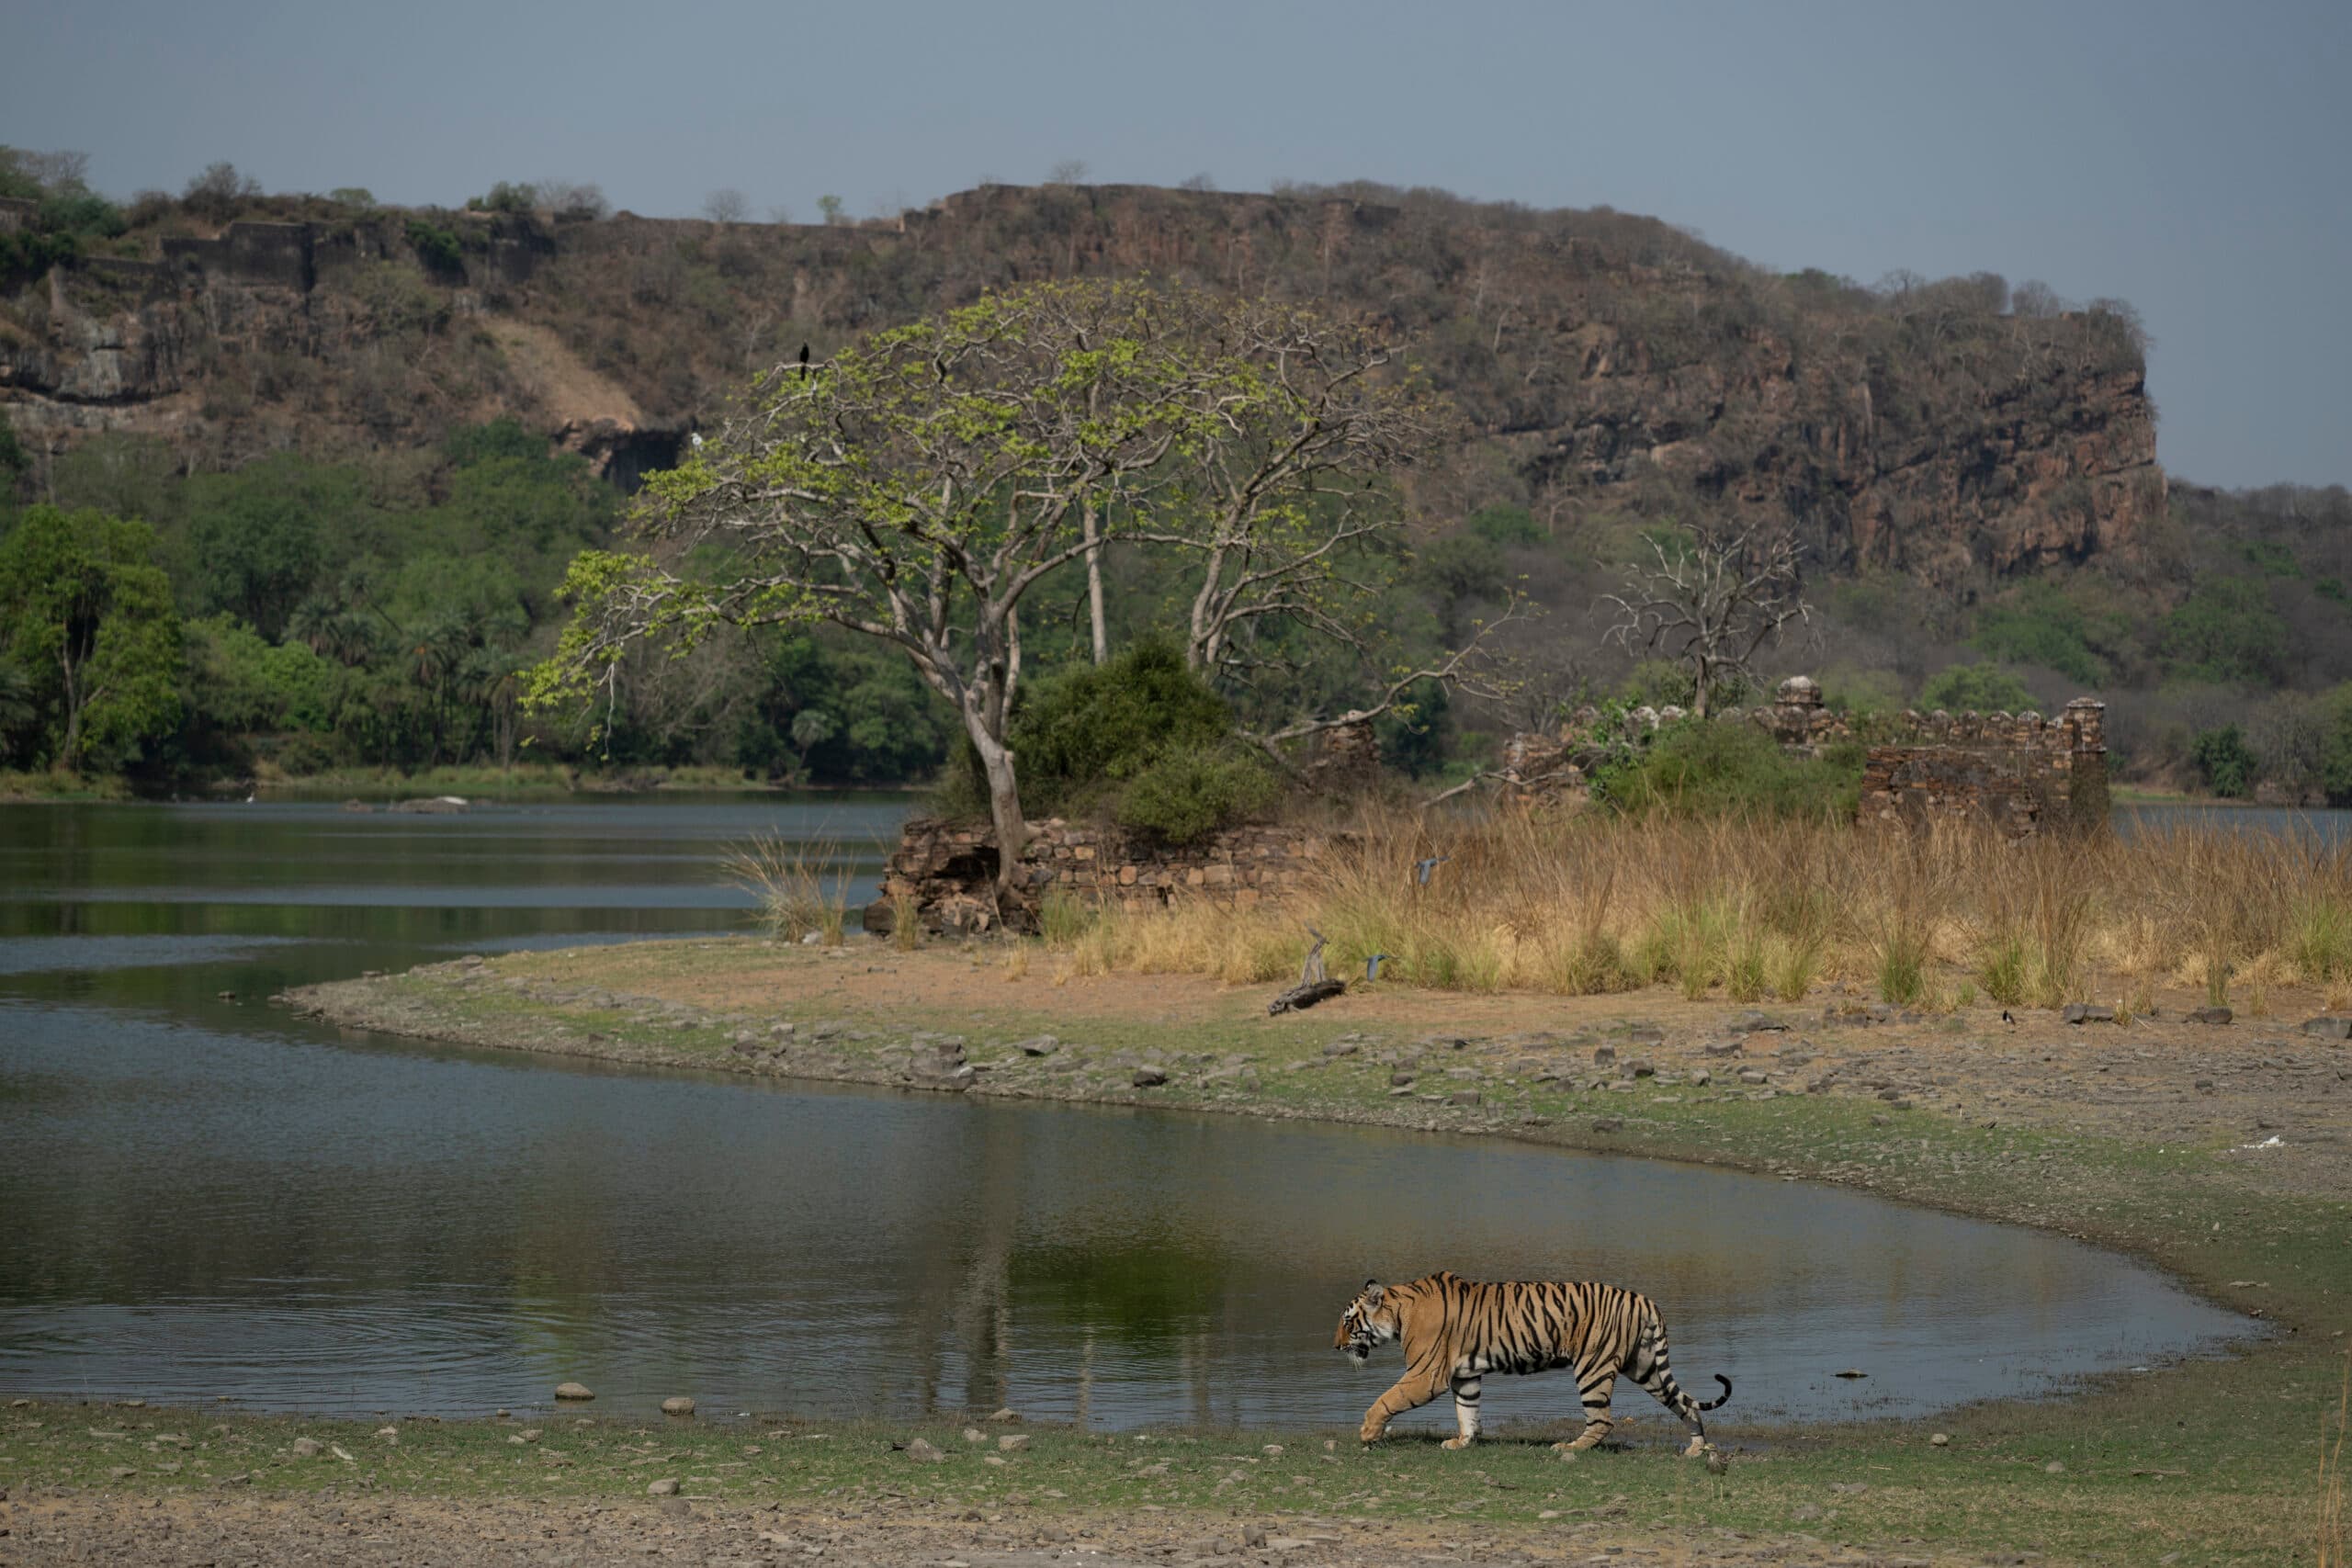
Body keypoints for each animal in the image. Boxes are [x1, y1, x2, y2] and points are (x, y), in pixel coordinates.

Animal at [1333, 1271, 1731, 1455]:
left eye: (1348, 1322)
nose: (1335, 1347)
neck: (1400, 1312)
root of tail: (1645, 1299)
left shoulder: (1425, 1374)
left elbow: (1386, 1400)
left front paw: (1368, 1433)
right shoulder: (1465, 1375)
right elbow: (1468, 1411)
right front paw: (1463, 1441)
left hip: (1593, 1366)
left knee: (1603, 1420)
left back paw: (1570, 1449)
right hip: (1645, 1366)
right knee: (1685, 1405)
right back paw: (1696, 1449)